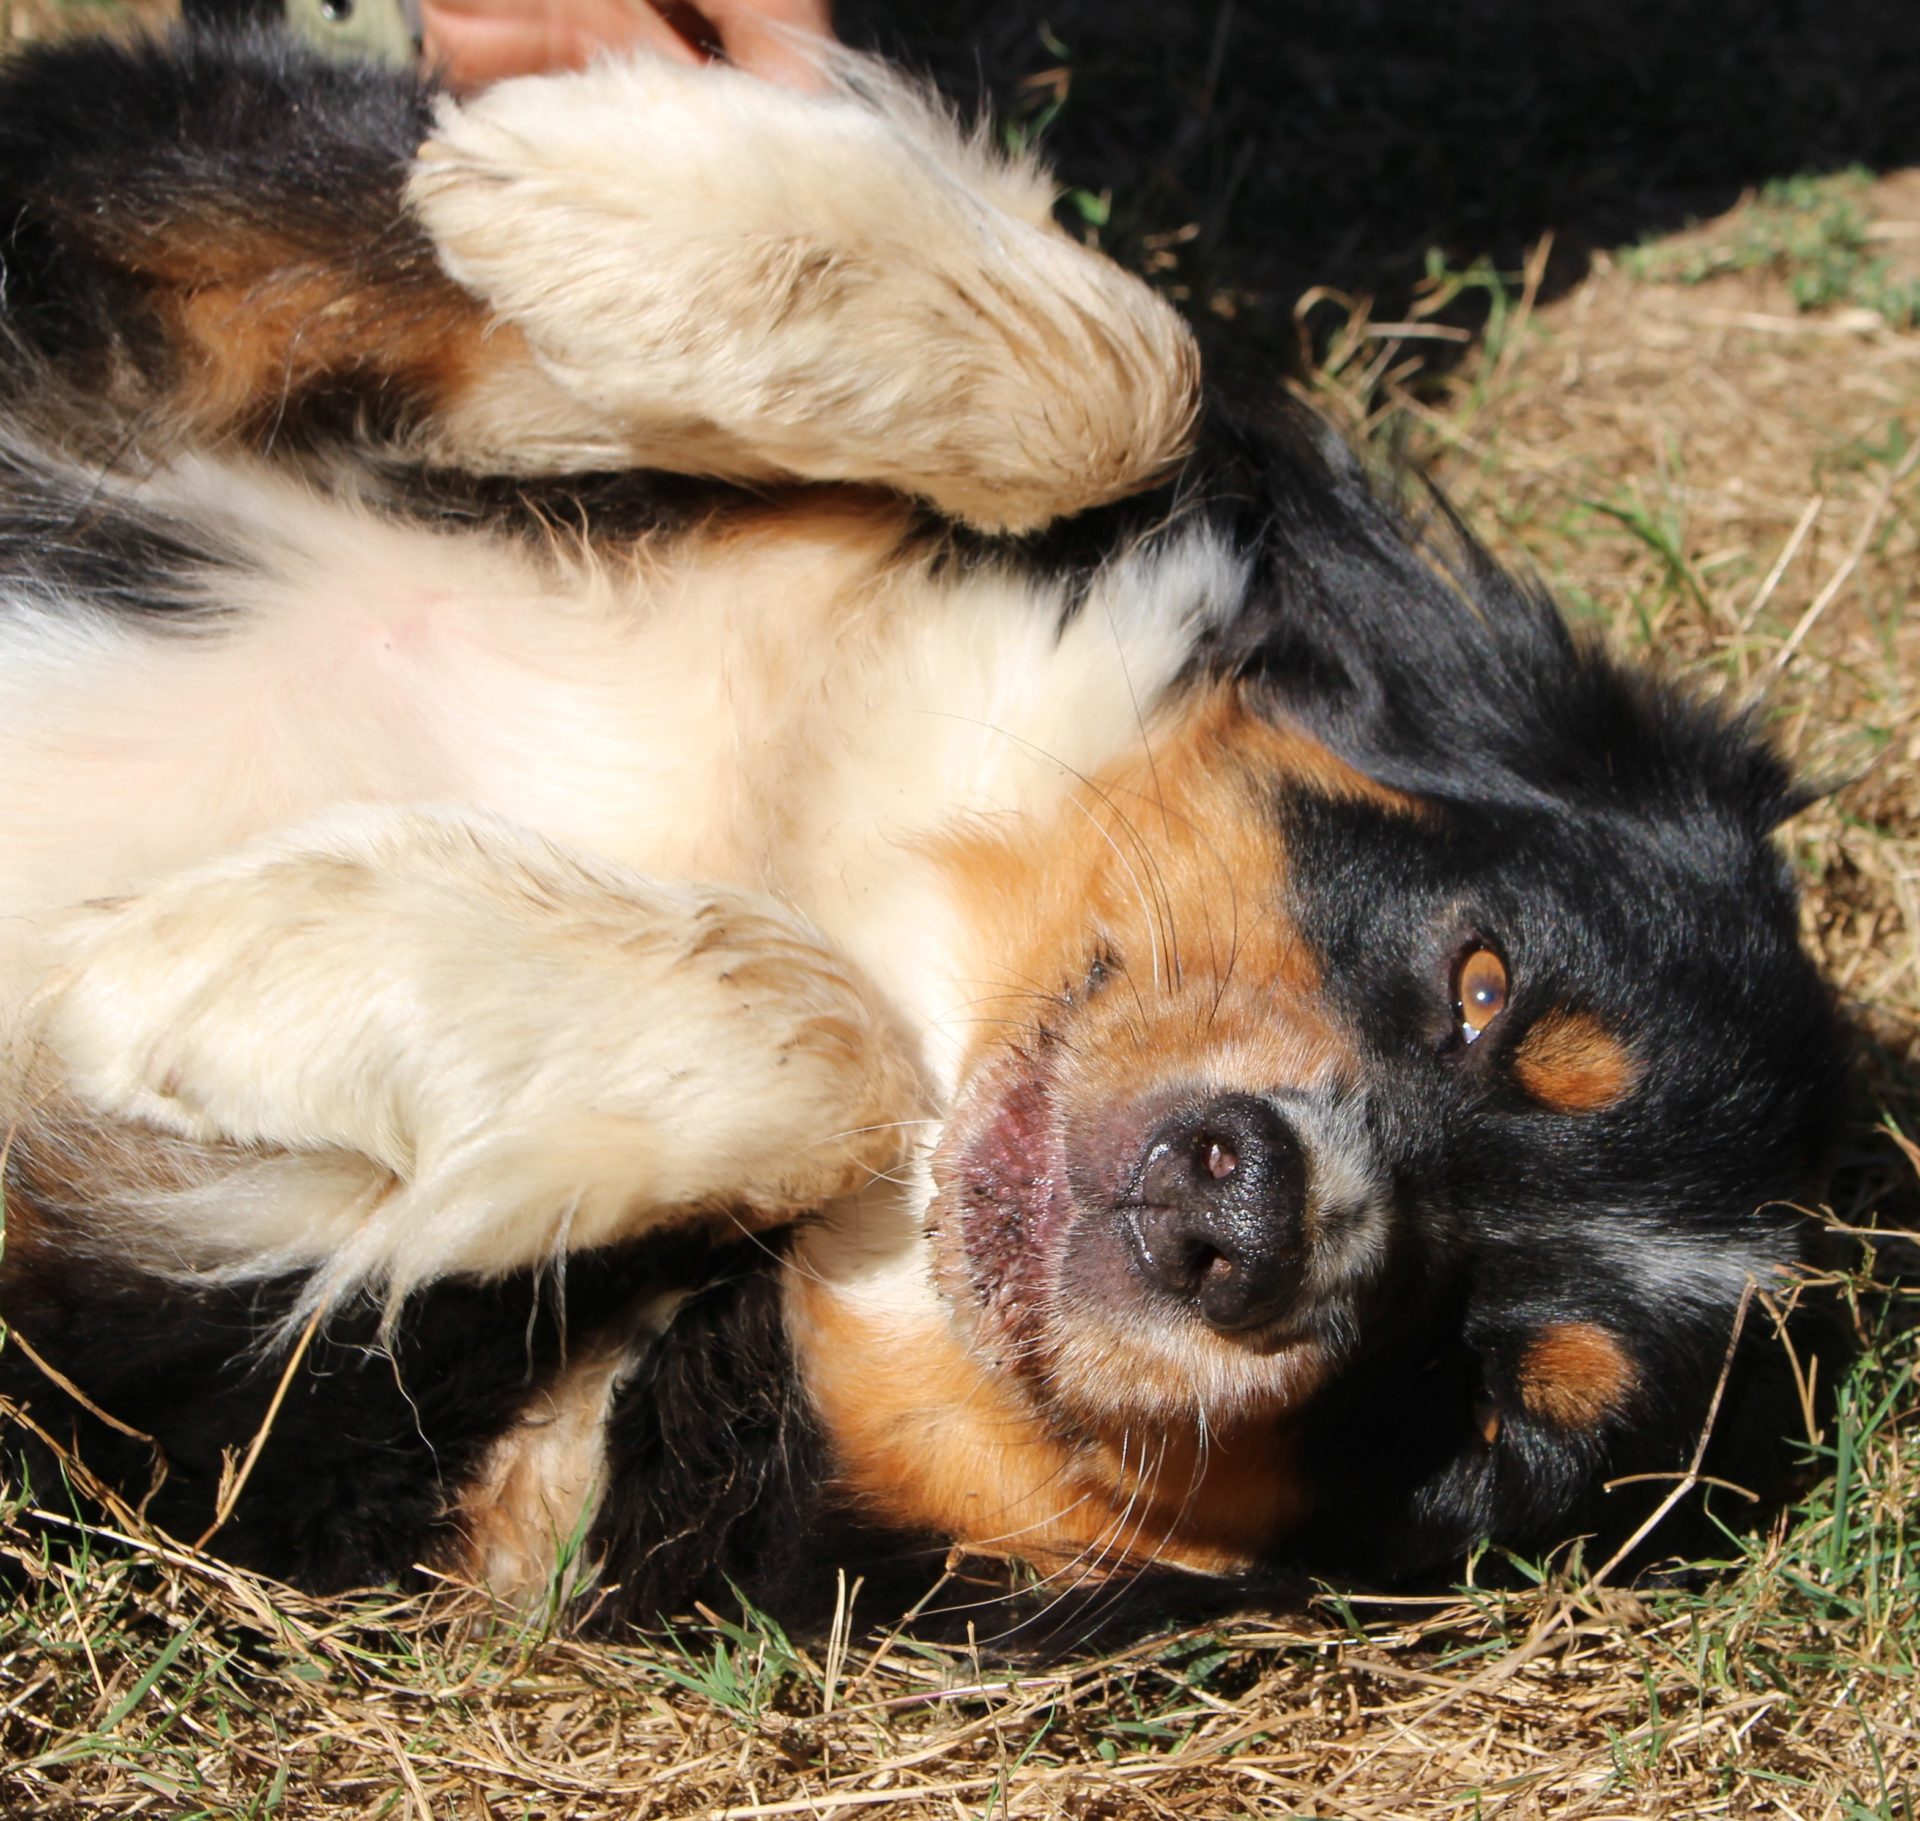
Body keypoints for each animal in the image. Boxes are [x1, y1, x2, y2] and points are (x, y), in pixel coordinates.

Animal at [0, 24, 1843, 1621]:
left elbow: (826, 1055)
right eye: (1484, 985)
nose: (1242, 1220)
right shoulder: (136, 249)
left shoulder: (399, 1462)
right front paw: (582, 183)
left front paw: (237, 955)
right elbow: (1139, 376)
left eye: (1481, 1417)